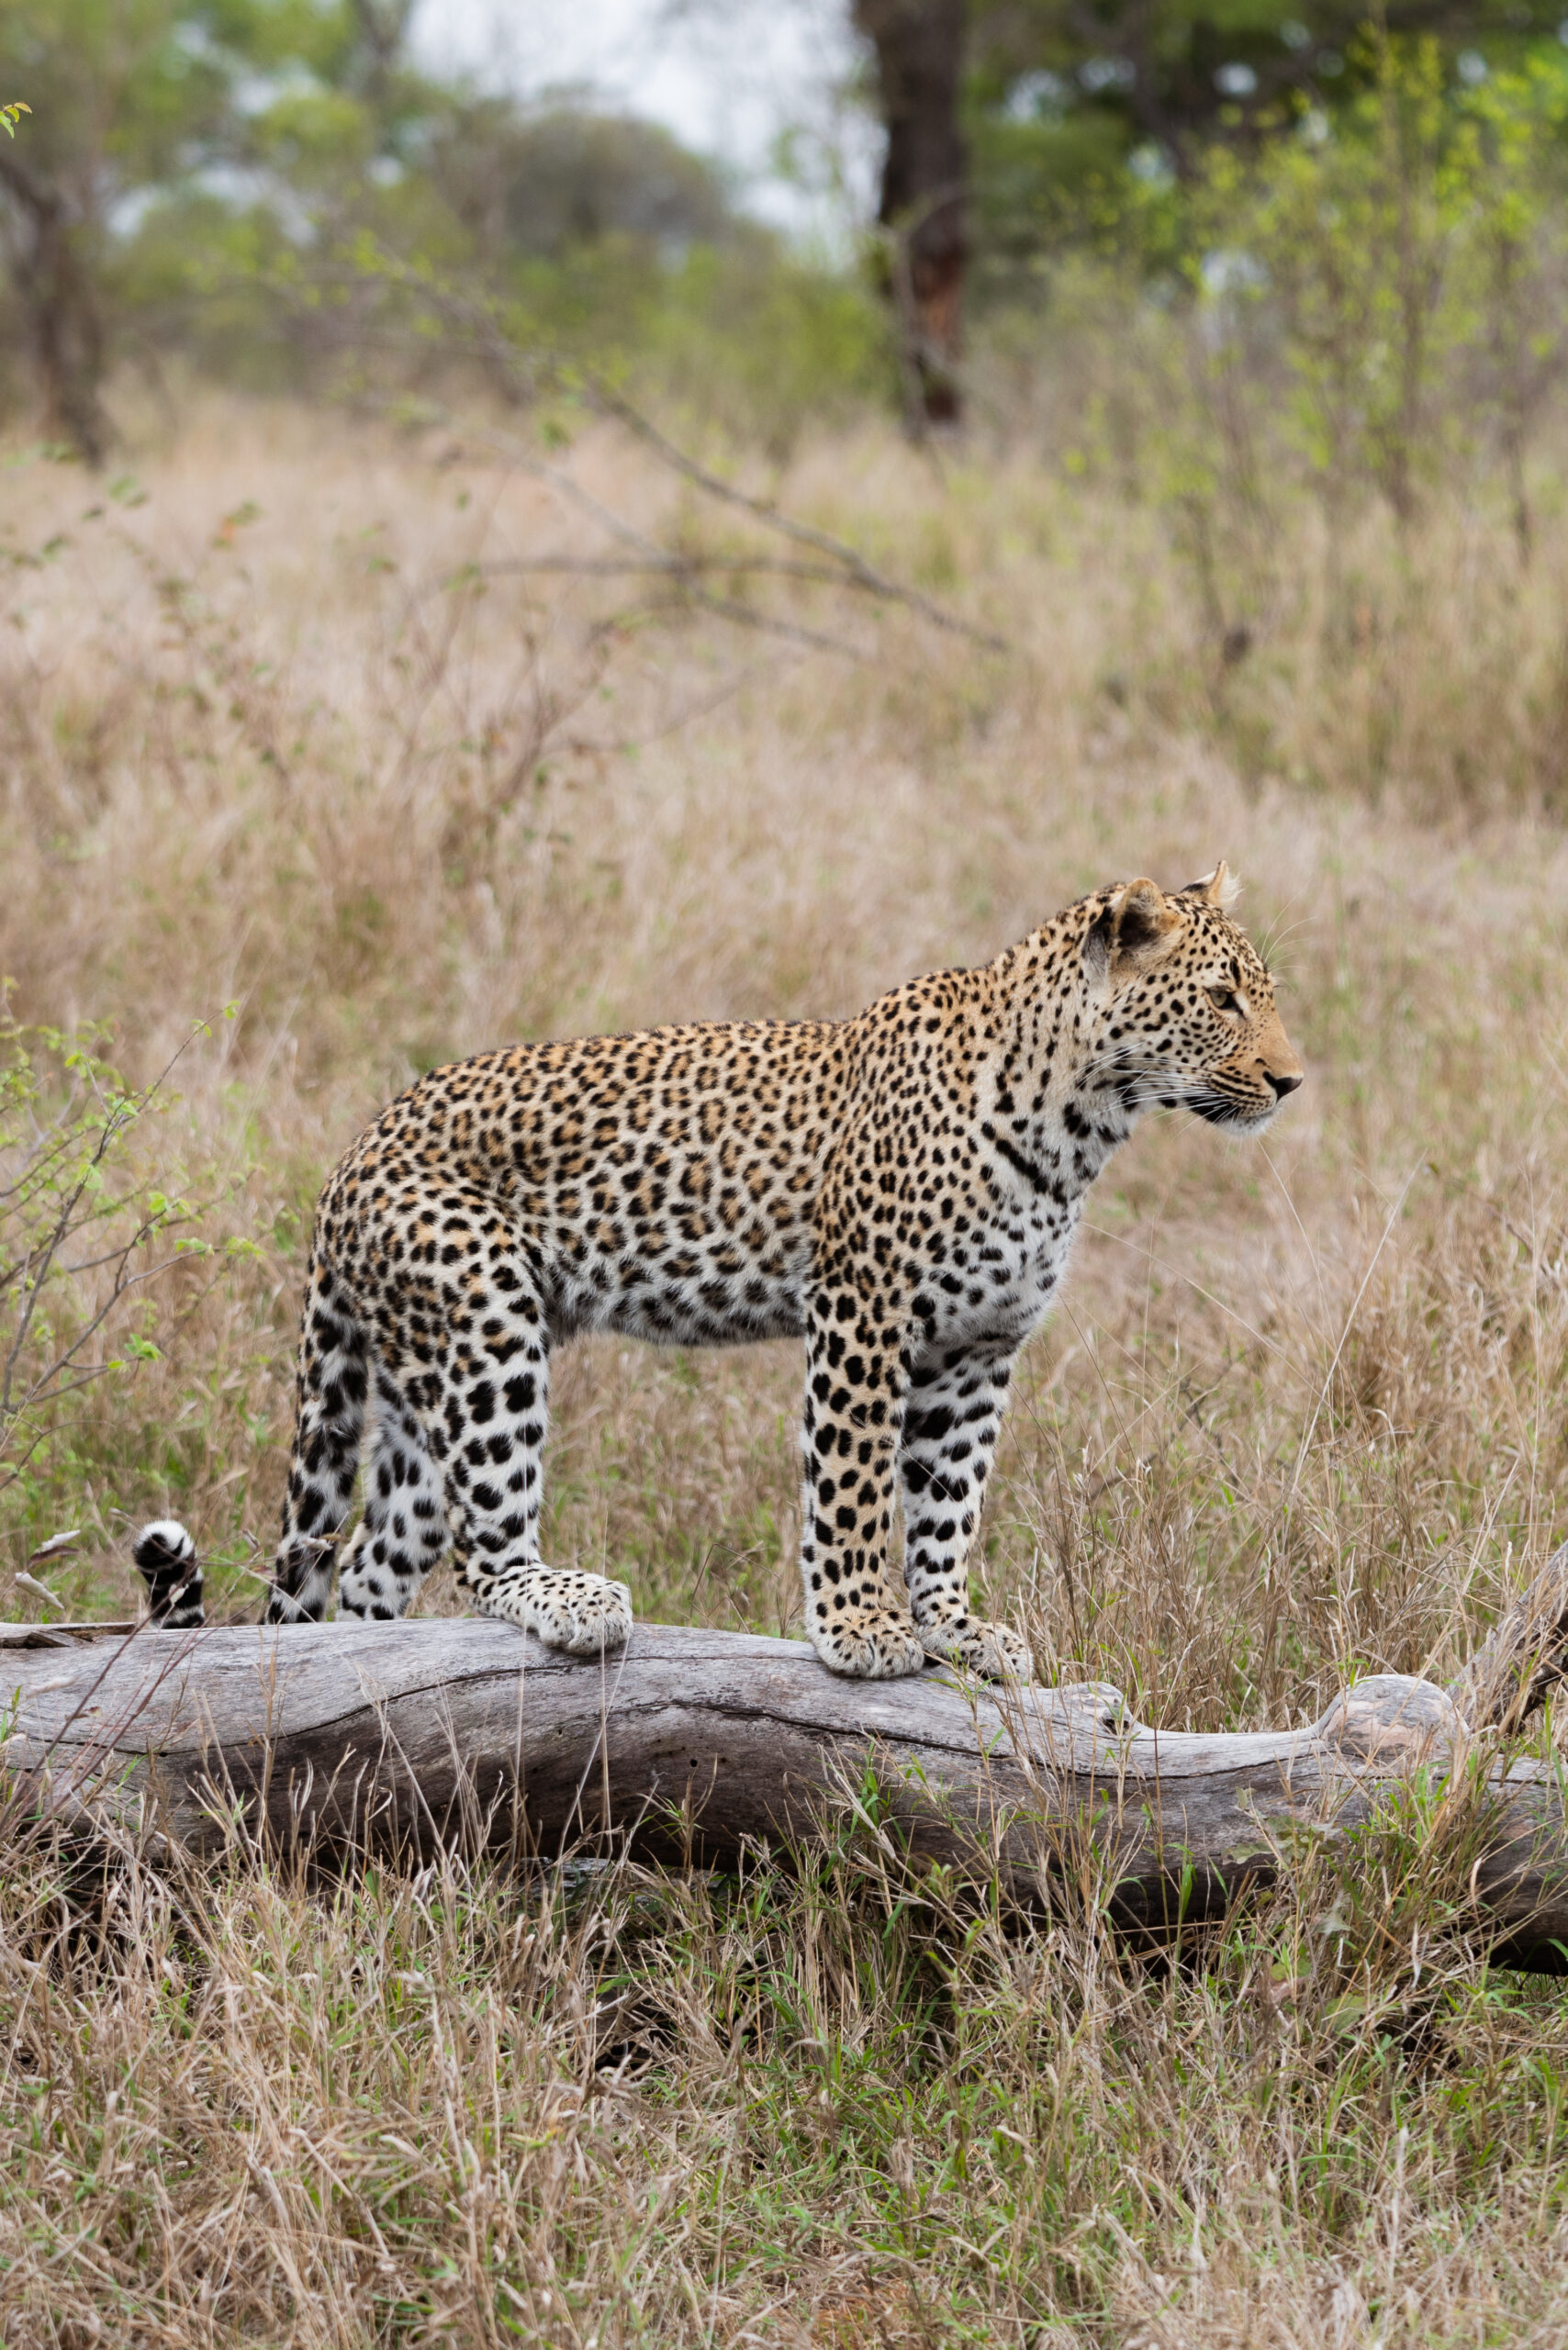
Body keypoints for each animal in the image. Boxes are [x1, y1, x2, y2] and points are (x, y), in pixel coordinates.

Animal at [140, 874, 1306, 1682]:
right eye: (1220, 999)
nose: (1292, 1081)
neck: (1079, 1123)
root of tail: (351, 1154)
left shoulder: (978, 1347)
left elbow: (948, 1504)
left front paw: (955, 1629)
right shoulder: (863, 1314)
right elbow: (851, 1486)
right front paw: (860, 1629)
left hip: (420, 1382)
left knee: (370, 1563)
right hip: (484, 1322)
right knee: (482, 1548)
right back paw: (566, 1598)